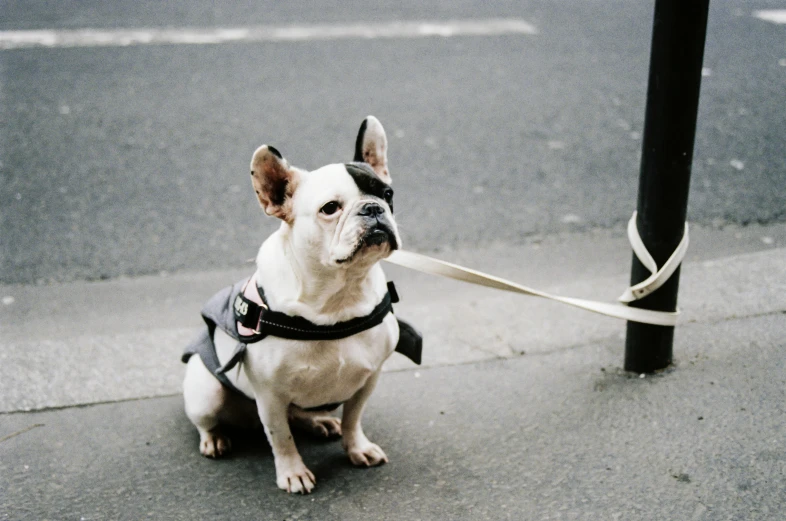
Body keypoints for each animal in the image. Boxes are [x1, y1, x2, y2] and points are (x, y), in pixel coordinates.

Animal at [181, 116, 416, 494]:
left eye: (387, 194)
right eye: (330, 208)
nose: (373, 209)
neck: (339, 294)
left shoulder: (368, 378)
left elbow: (353, 418)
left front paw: (357, 448)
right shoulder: (270, 396)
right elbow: (281, 438)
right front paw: (293, 472)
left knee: (303, 414)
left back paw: (320, 421)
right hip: (207, 393)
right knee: (209, 419)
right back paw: (214, 438)